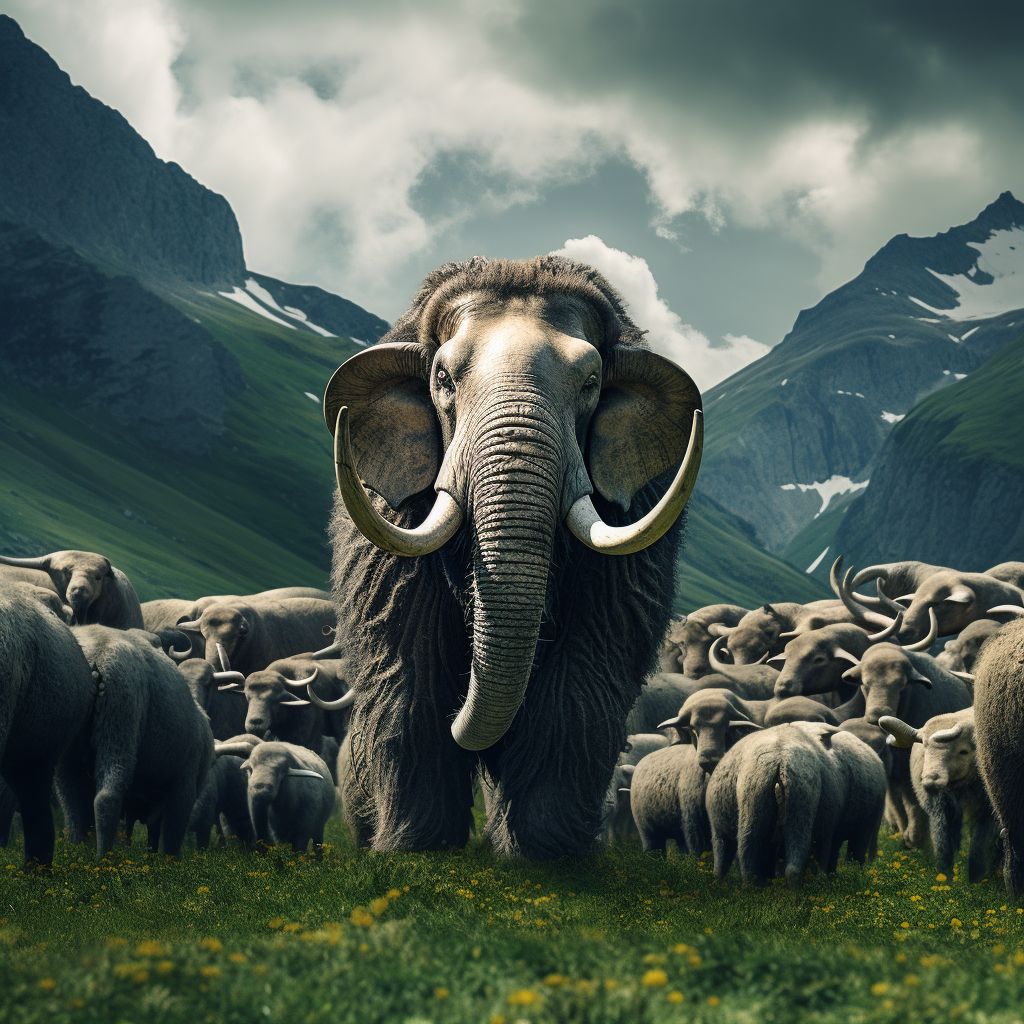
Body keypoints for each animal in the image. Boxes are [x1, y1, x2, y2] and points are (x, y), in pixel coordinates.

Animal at [327, 253, 704, 856]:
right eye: (442, 379)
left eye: (591, 384)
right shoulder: (390, 539)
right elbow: (412, 675)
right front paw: (414, 851)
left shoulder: (632, 535)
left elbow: (582, 677)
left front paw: (548, 854)